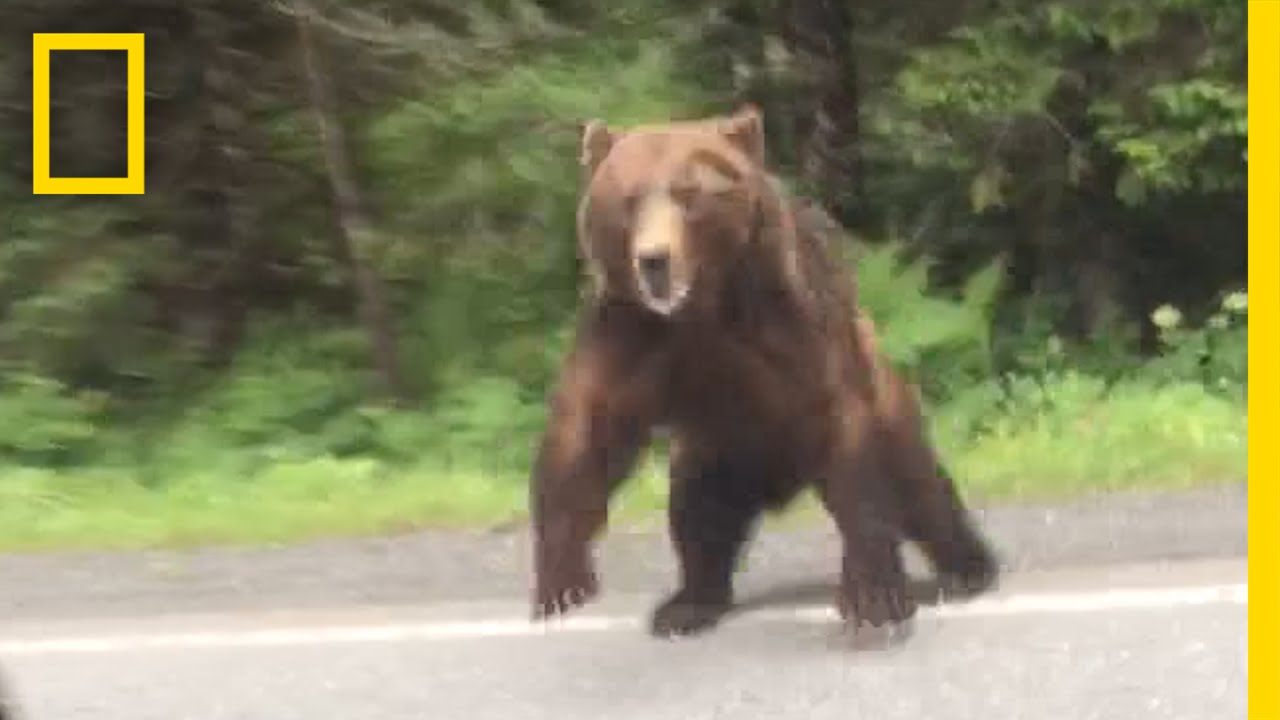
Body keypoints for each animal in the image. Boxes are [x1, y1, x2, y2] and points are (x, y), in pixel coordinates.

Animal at [528, 104, 1000, 639]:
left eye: (688, 195)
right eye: (628, 199)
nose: (653, 260)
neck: (704, 306)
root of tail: (781, 483)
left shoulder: (791, 323)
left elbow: (845, 437)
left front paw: (873, 600)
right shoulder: (630, 332)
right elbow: (588, 429)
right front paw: (561, 582)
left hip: (886, 400)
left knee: (919, 486)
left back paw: (968, 568)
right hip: (712, 453)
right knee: (697, 514)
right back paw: (688, 603)